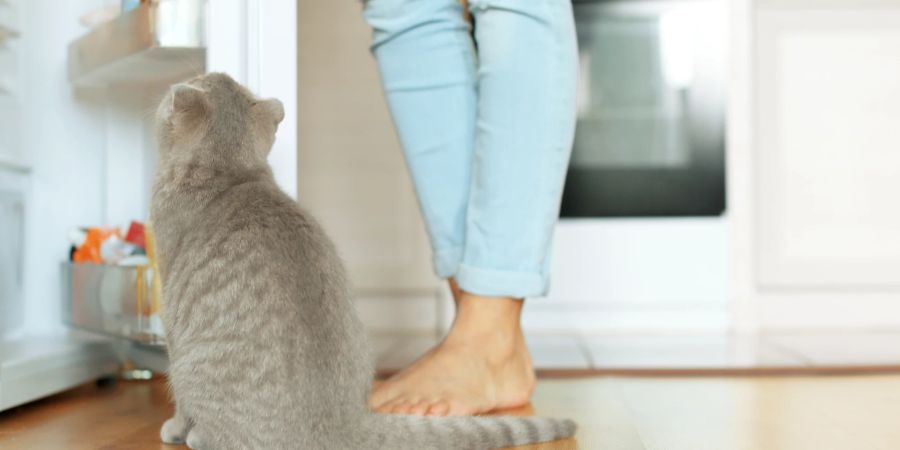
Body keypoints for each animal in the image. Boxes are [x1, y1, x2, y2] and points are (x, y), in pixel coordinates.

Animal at [150, 72, 572, 448]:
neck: (232, 172)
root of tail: (344, 426)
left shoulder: (171, 316)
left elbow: (180, 401)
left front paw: (175, 428)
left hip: (193, 366)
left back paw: (198, 437)